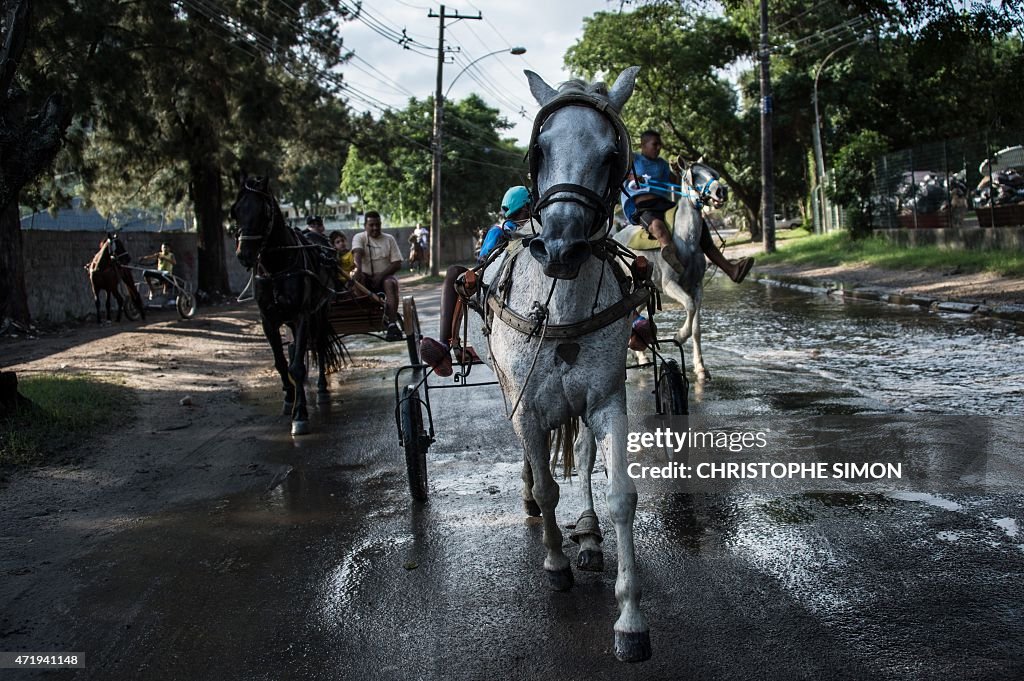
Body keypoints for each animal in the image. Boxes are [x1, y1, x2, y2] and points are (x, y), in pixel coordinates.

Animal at [460, 66, 651, 659]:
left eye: (611, 154)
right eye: (539, 149)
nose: (561, 247)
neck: (560, 306)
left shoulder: (608, 399)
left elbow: (619, 493)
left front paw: (630, 617)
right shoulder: (526, 405)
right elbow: (546, 484)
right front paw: (555, 561)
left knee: (583, 455)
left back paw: (586, 533)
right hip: (512, 392)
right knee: (534, 459)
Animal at [614, 160, 729, 382]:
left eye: (714, 173)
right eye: (694, 175)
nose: (721, 191)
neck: (686, 241)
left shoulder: (697, 286)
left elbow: (697, 327)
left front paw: (701, 368)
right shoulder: (669, 284)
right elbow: (689, 307)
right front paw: (679, 336)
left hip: (642, 293)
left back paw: (640, 355)